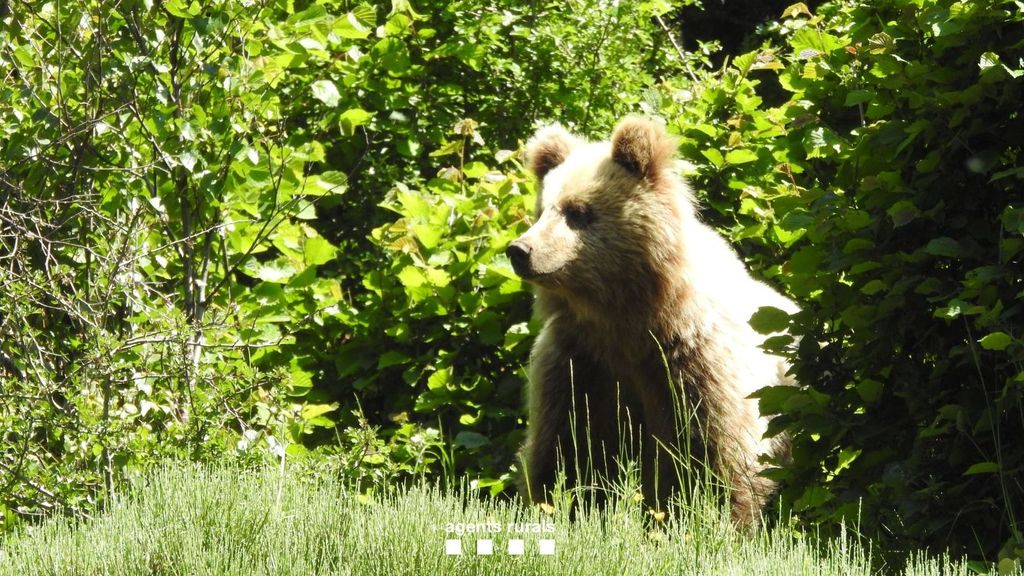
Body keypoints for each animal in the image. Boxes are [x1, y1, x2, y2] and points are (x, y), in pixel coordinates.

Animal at [507, 116, 794, 524]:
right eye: (543, 209)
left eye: (578, 212)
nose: (520, 250)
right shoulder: (581, 364)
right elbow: (567, 446)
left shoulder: (694, 364)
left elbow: (721, 454)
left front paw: (718, 518)